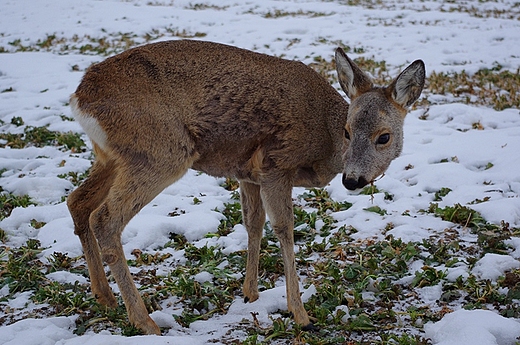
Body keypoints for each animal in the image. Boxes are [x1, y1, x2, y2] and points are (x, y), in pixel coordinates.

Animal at [68, 39, 426, 334]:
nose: (352, 179)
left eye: (384, 136)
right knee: (105, 219)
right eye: (348, 131)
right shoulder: (275, 164)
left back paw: (104, 296)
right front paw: (300, 314)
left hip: (113, 157)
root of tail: (80, 97)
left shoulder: (248, 173)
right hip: (161, 151)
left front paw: (250, 294)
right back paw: (145, 321)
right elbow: (284, 228)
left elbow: (254, 223)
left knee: (78, 202)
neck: (324, 139)